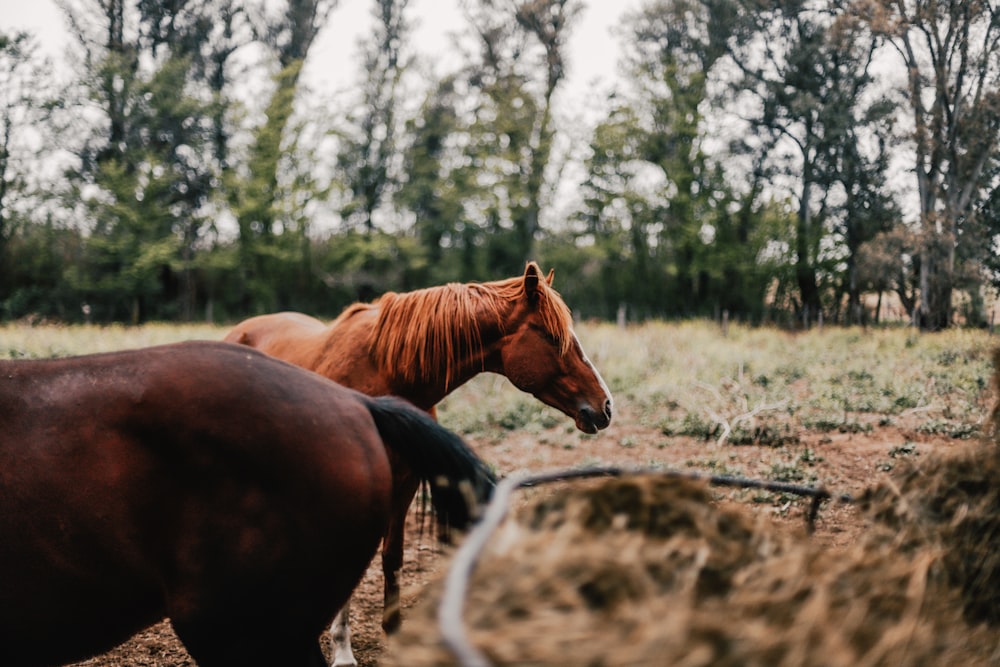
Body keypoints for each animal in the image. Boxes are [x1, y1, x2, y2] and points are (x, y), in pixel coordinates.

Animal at [227, 262, 612, 667]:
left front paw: (394, 635)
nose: (605, 406)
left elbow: (392, 557)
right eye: (553, 338)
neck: (385, 372)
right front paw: (343, 650)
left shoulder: (406, 481)